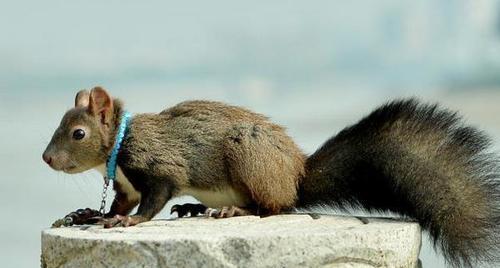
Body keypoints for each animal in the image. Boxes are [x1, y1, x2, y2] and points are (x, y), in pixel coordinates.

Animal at [43, 87, 500, 266]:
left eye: (78, 133)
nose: (46, 158)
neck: (117, 150)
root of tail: (295, 176)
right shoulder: (124, 183)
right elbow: (123, 200)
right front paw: (90, 215)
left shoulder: (160, 166)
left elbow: (152, 201)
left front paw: (127, 221)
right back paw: (195, 208)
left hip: (248, 159)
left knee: (272, 207)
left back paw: (232, 211)